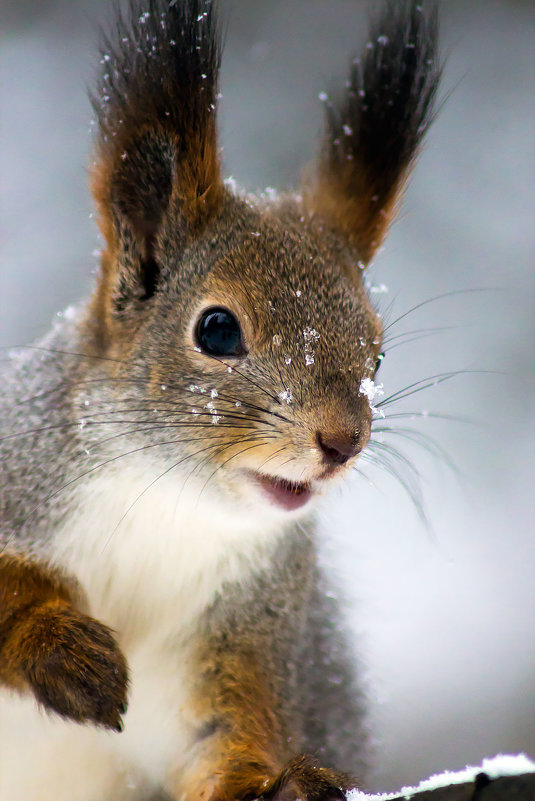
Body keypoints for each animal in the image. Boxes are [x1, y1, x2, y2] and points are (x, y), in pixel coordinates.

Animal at [1, 1, 440, 800]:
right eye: (216, 328)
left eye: (377, 353)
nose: (343, 441)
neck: (163, 504)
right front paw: (63, 648)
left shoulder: (247, 631)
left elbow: (223, 741)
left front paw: (282, 785)